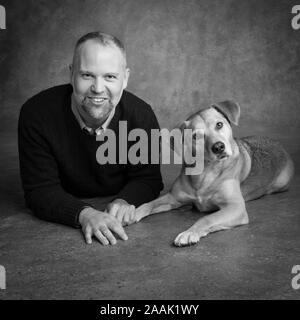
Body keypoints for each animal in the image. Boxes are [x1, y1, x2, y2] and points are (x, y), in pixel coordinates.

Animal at [132, 101, 294, 246]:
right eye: (196, 136)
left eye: (219, 124)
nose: (218, 147)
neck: (205, 172)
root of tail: (278, 143)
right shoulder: (174, 198)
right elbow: (149, 204)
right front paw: (133, 212)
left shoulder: (235, 208)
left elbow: (207, 219)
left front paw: (189, 233)